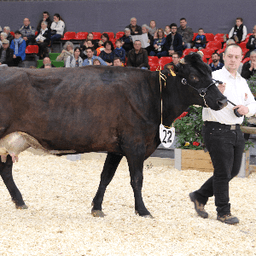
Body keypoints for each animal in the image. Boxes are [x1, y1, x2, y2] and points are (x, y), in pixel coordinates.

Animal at [0, 53, 227, 216]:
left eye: (210, 73)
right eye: (194, 76)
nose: (223, 100)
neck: (153, 95)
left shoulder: (117, 147)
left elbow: (106, 177)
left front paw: (97, 207)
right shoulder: (135, 144)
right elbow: (137, 179)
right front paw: (142, 210)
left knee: (6, 170)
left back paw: (20, 202)